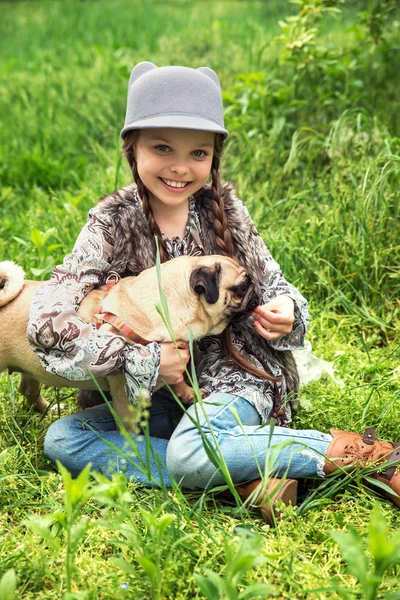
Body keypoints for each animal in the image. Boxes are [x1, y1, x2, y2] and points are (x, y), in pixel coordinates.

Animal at [0, 255, 256, 428]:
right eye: (242, 286)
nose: (255, 288)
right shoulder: (126, 398)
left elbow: (177, 379)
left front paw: (187, 393)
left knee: (27, 390)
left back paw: (49, 410)